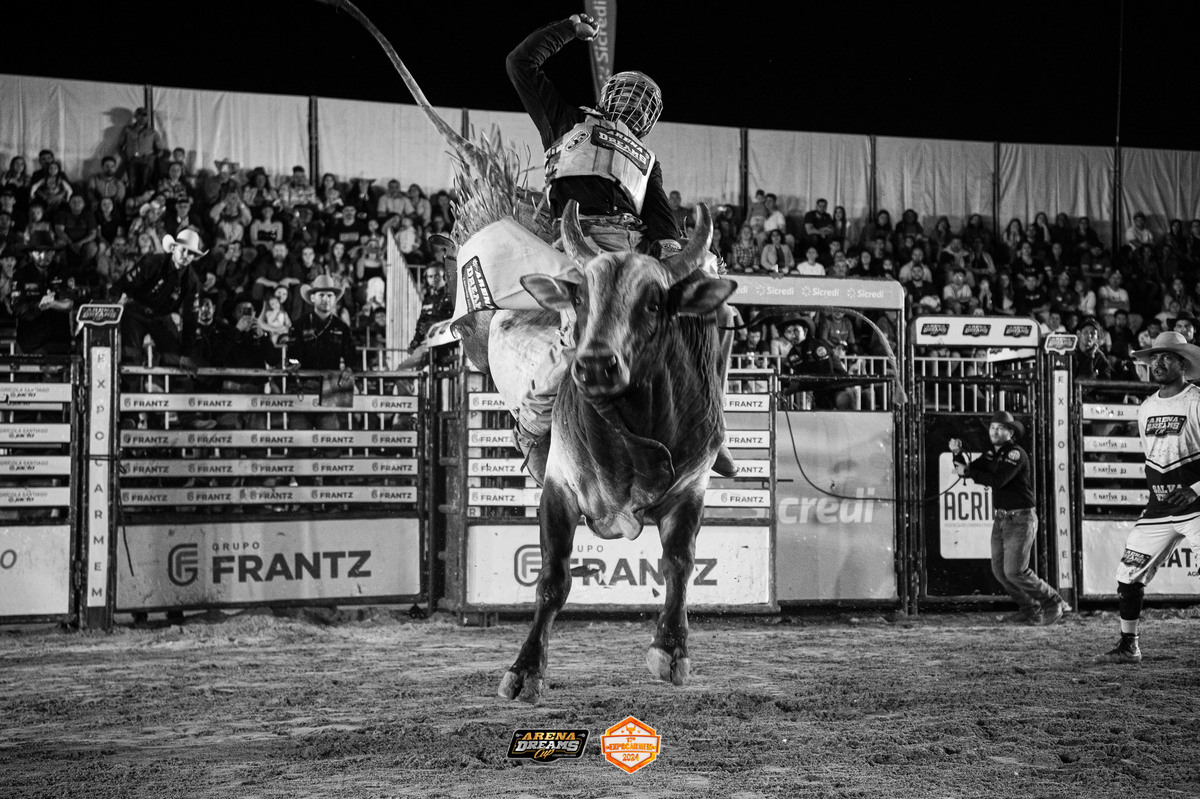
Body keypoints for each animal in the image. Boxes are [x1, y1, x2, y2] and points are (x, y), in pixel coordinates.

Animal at [495, 201, 736, 704]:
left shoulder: (692, 489)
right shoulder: (559, 487)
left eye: (653, 302)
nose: (594, 366)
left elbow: (679, 563)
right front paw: (525, 670)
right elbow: (552, 578)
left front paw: (671, 650)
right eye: (581, 300)